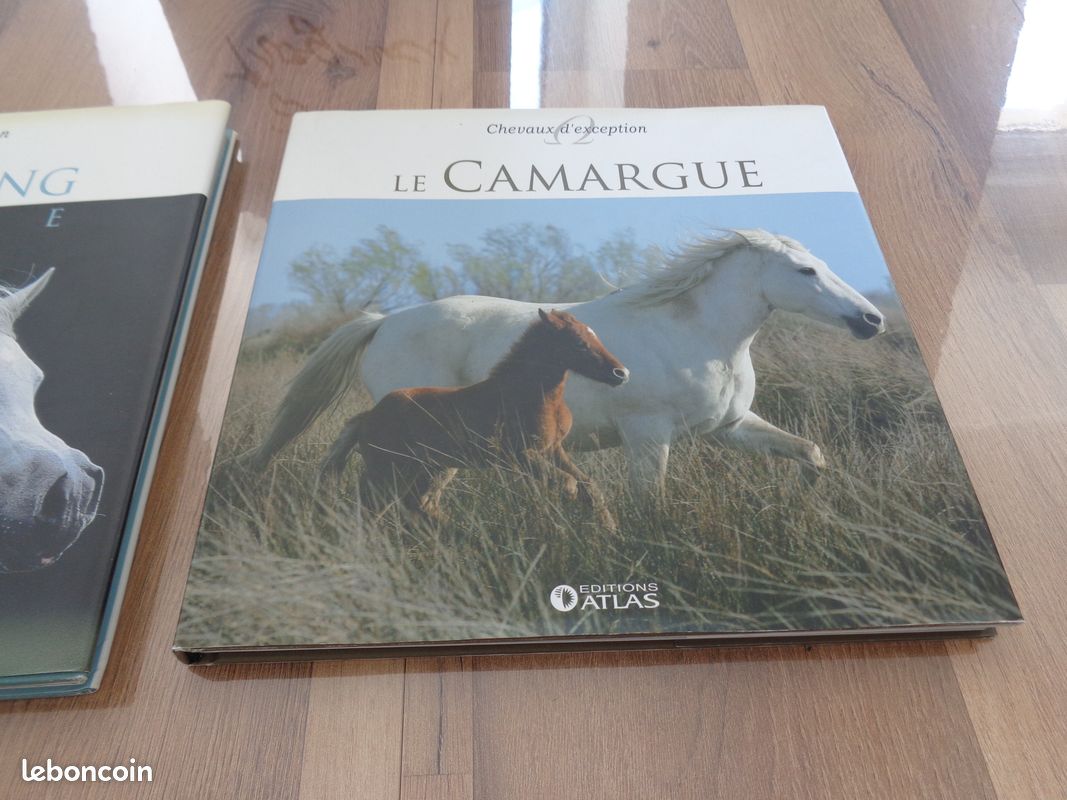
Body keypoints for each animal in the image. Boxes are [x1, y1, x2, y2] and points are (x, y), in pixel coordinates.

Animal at [252, 229, 886, 495]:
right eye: (805, 270)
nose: (871, 320)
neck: (696, 335)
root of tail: (384, 320)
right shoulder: (648, 436)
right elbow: (649, 503)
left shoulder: (728, 428)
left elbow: (809, 452)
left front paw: (810, 496)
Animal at [320, 308, 629, 529]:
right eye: (579, 343)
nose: (621, 373)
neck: (530, 392)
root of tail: (366, 417)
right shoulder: (519, 454)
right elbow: (568, 483)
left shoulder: (553, 449)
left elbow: (590, 486)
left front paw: (610, 530)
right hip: (386, 471)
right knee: (367, 510)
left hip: (432, 469)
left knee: (419, 504)